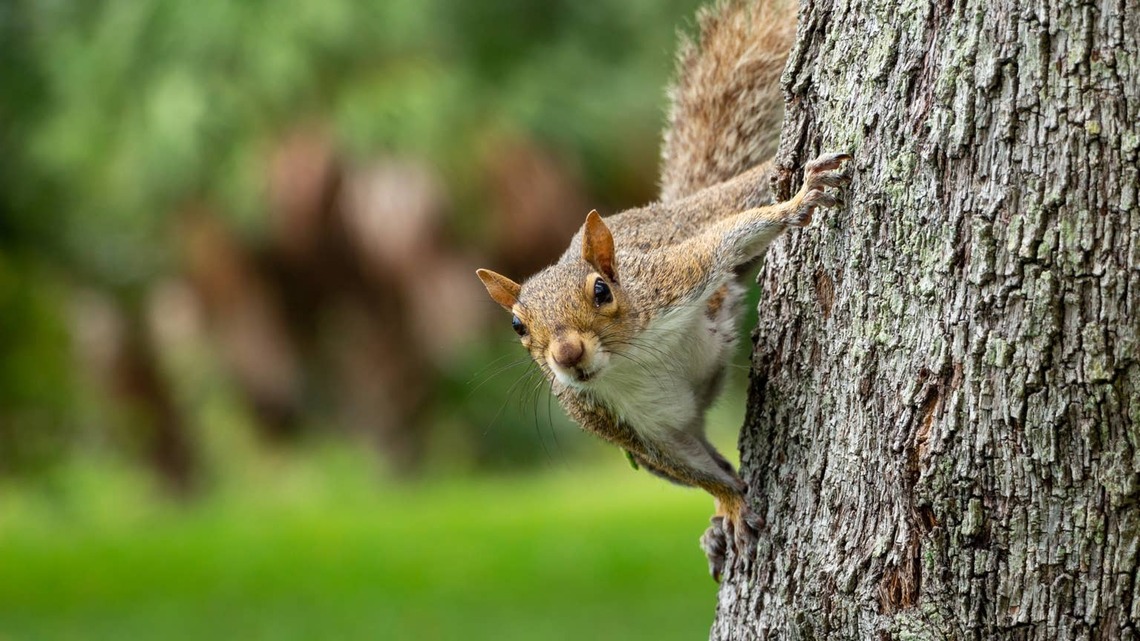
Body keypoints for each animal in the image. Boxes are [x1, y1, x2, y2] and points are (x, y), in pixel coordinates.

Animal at [476, 0, 851, 582]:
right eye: (518, 326)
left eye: (602, 291)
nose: (567, 355)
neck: (629, 358)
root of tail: (659, 207)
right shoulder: (625, 428)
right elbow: (698, 470)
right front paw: (731, 503)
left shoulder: (672, 281)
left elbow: (721, 243)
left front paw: (798, 203)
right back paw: (716, 524)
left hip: (704, 213)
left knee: (736, 203)